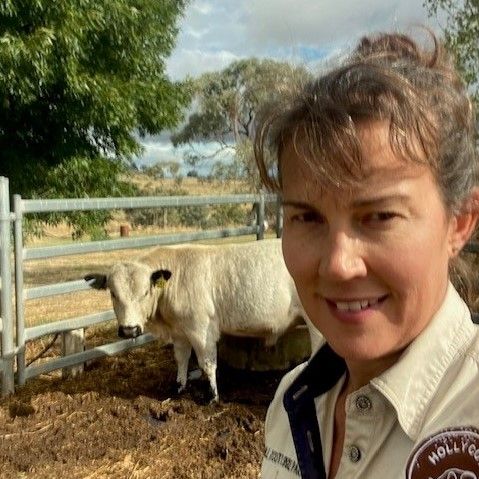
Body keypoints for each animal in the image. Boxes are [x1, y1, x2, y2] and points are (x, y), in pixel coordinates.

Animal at [86, 239, 308, 402]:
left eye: (146, 292)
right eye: (113, 293)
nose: (129, 330)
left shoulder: (201, 330)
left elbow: (207, 363)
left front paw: (212, 397)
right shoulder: (179, 333)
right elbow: (182, 359)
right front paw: (179, 387)